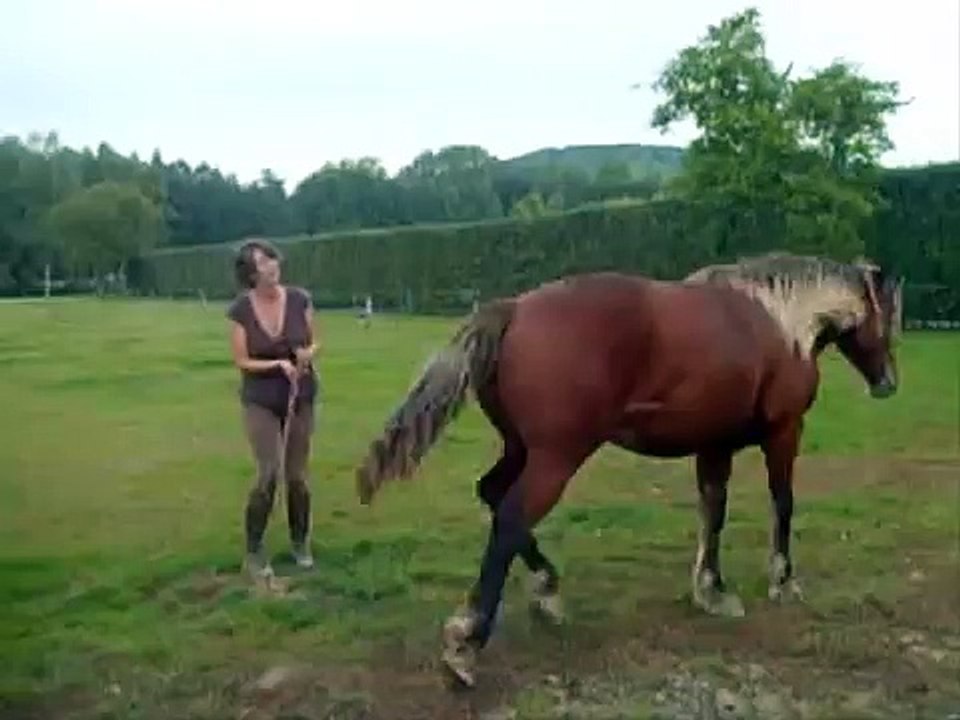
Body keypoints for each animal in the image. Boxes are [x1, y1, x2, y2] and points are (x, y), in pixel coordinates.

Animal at [354, 251, 903, 688]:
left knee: (492, 496)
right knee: (510, 517)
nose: (888, 383)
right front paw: (782, 582)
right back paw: (467, 643)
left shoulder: (715, 445)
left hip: (522, 448)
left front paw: (711, 590)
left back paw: (548, 590)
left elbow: (713, 510)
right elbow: (782, 502)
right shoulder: (785, 432)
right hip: (558, 457)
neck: (780, 322)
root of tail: (514, 308)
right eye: (890, 315)